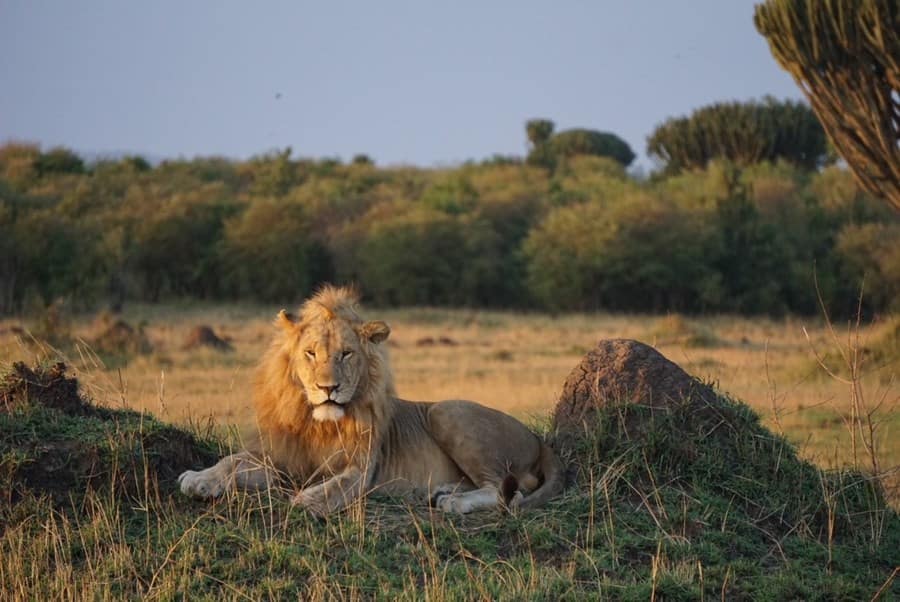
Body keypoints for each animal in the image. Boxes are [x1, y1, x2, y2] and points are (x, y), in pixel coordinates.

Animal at [178, 285, 563, 515]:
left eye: (346, 354)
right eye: (310, 353)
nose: (328, 388)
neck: (316, 423)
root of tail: (537, 439)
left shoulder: (363, 467)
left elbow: (337, 485)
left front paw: (309, 499)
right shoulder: (278, 458)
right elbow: (231, 461)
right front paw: (198, 479)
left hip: (445, 411)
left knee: (502, 490)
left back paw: (452, 502)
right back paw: (441, 491)